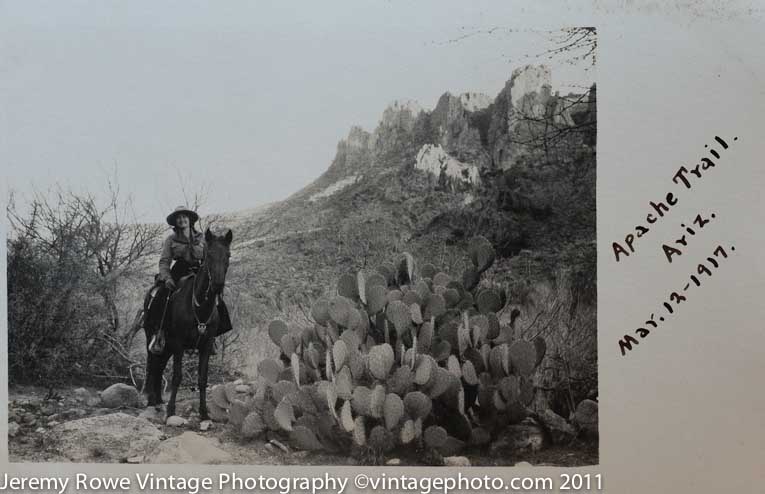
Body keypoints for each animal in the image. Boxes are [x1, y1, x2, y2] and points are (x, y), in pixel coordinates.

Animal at [144, 226, 233, 418]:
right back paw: (151, 400)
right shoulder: (178, 344)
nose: (217, 285)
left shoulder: (206, 345)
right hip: (152, 337)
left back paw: (158, 400)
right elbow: (177, 376)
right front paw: (171, 410)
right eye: (209, 255)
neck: (199, 308)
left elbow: (202, 379)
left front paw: (204, 412)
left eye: (228, 255)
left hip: (167, 346)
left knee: (159, 366)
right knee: (152, 365)